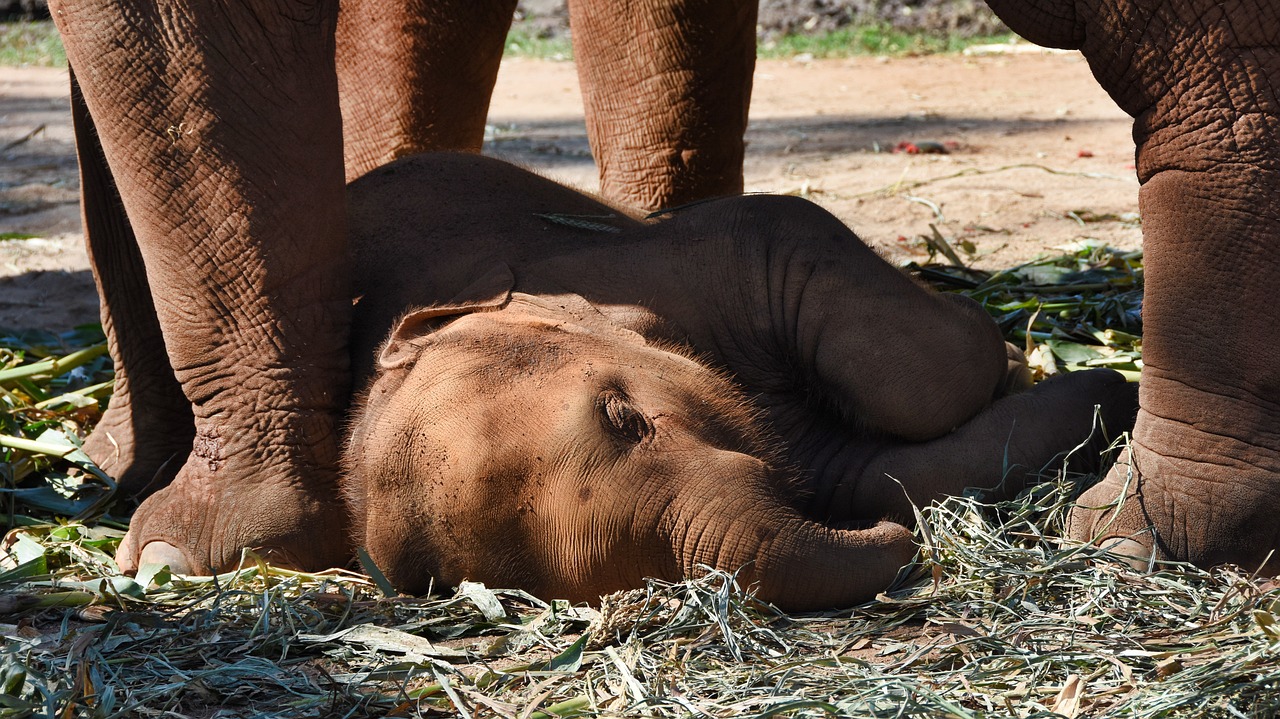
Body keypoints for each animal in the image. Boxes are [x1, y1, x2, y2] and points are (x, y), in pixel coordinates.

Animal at [343, 152, 1141, 608]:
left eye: (623, 417)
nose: (901, 544)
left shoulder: (659, 261)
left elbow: (786, 226)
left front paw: (1044, 371)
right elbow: (876, 471)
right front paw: (1103, 393)